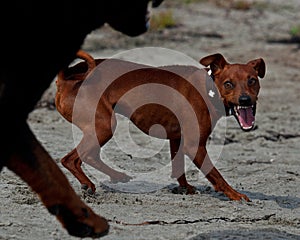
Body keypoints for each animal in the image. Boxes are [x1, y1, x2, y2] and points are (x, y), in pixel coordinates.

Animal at [54, 50, 264, 201]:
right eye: (228, 84)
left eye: (252, 81)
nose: (245, 100)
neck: (209, 88)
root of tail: (66, 78)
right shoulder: (195, 146)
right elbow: (216, 175)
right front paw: (235, 194)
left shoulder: (177, 139)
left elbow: (179, 167)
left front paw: (185, 188)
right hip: (104, 126)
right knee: (71, 159)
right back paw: (88, 184)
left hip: (100, 128)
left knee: (88, 156)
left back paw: (116, 176)